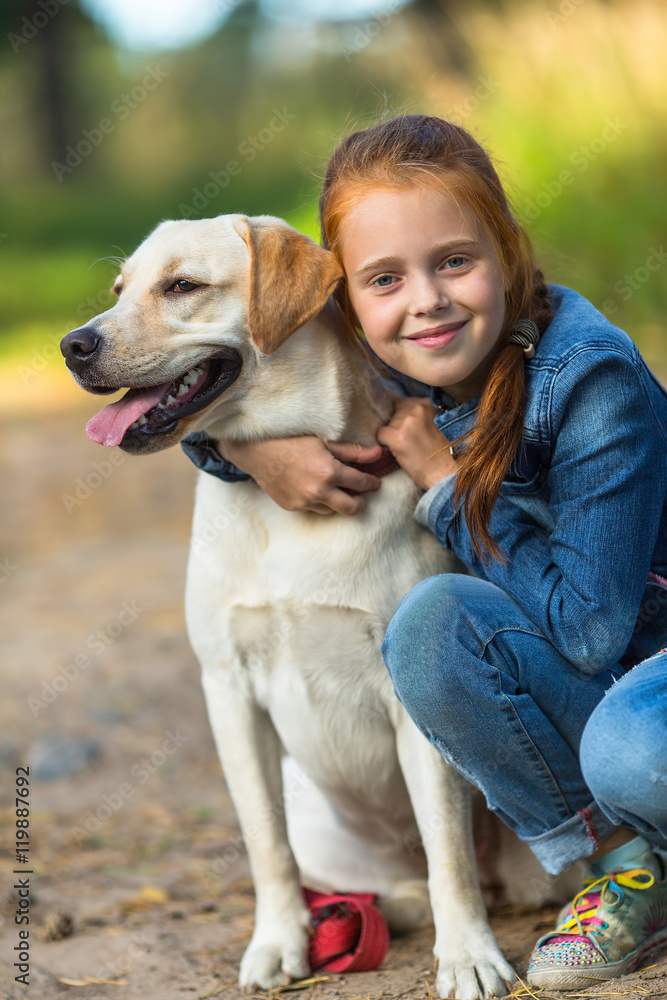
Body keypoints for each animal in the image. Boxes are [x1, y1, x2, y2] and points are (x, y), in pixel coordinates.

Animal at [61, 219, 516, 1000]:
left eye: (180, 286)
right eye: (119, 289)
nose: (73, 345)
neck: (283, 504)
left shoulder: (409, 703)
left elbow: (449, 851)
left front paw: (469, 956)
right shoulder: (228, 690)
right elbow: (264, 844)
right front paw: (279, 943)